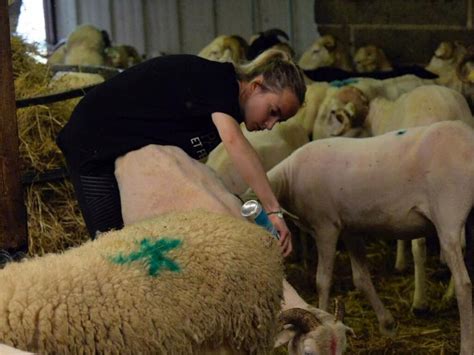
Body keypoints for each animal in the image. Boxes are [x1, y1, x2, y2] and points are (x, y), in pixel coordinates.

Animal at [248, 121, 474, 354]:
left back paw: (466, 345)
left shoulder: (326, 226)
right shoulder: (350, 229)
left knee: (464, 283)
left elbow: (323, 280)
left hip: (448, 213)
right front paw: (387, 324)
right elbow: (361, 278)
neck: (289, 178)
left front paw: (321, 315)